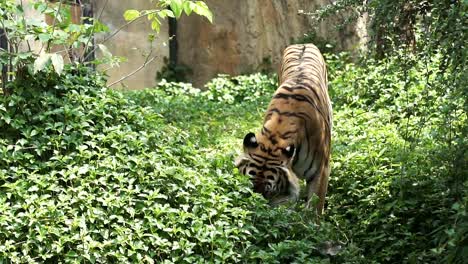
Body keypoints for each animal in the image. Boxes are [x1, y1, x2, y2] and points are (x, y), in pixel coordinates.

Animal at [236, 43, 330, 214]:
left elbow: (314, 207)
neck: (276, 135)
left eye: (269, 191)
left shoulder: (321, 169)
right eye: (249, 188)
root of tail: (303, 44)